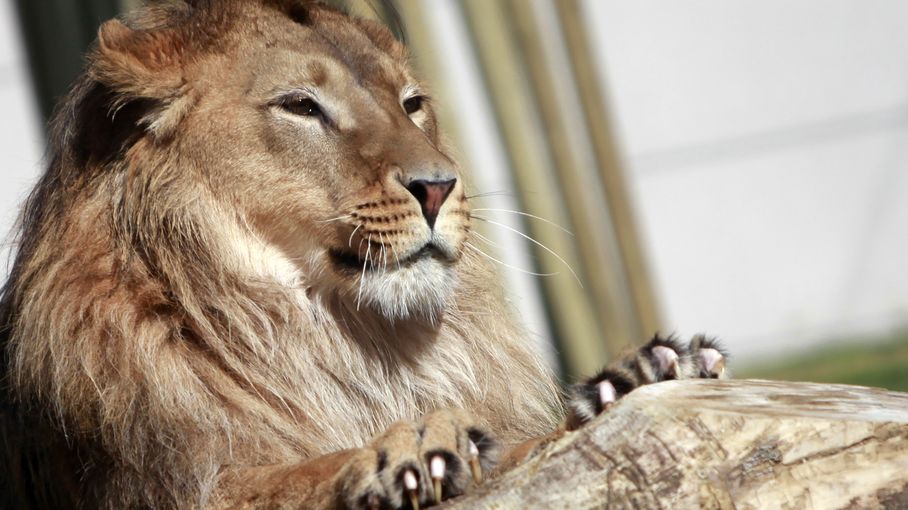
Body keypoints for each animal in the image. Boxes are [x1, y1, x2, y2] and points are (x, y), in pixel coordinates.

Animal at [0, 1, 724, 508]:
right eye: (301, 106)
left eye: (411, 104)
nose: (439, 185)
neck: (348, 341)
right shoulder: (160, 486)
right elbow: (287, 478)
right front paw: (407, 451)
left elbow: (532, 446)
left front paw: (630, 379)